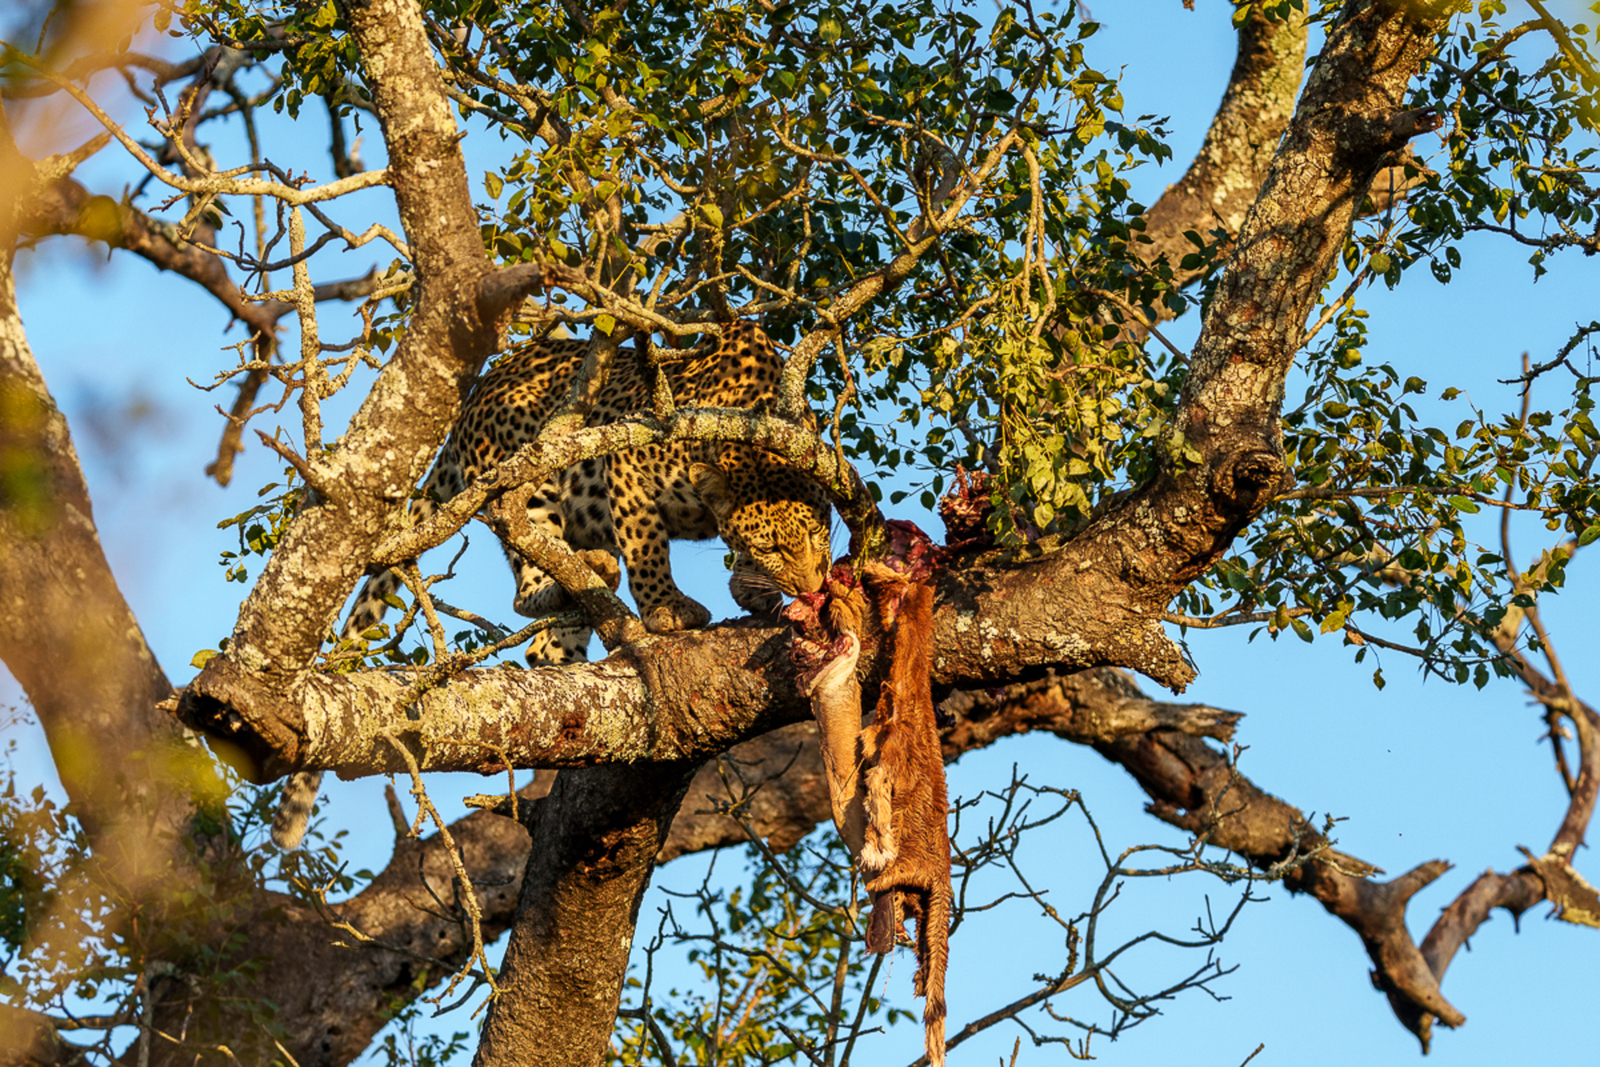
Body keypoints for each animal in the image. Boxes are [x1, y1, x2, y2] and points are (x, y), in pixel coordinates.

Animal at [270, 322, 835, 848]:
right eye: (773, 546)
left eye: (817, 533)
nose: (812, 584)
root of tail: (474, 396)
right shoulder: (628, 462)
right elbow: (647, 544)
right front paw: (666, 609)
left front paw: (753, 591)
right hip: (523, 483)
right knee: (528, 586)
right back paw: (592, 576)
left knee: (542, 648)